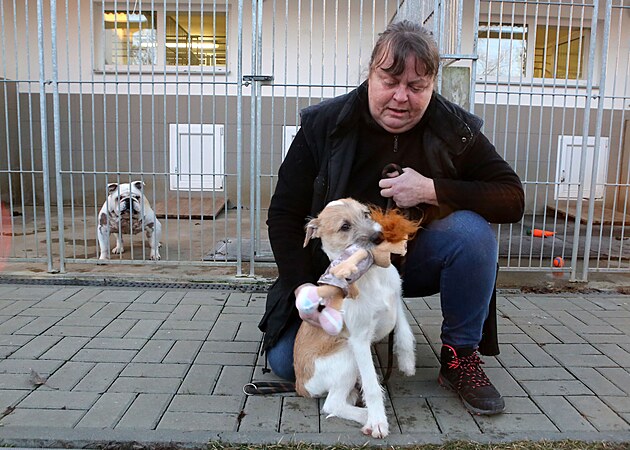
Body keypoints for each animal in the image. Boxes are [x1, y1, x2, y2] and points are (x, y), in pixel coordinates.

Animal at [296, 199, 418, 438]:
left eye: (366, 214)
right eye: (345, 226)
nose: (379, 237)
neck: (371, 274)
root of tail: (300, 384)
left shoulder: (397, 302)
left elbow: (404, 332)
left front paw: (407, 362)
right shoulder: (360, 341)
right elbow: (371, 386)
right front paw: (378, 421)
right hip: (347, 356)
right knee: (332, 405)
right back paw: (368, 417)